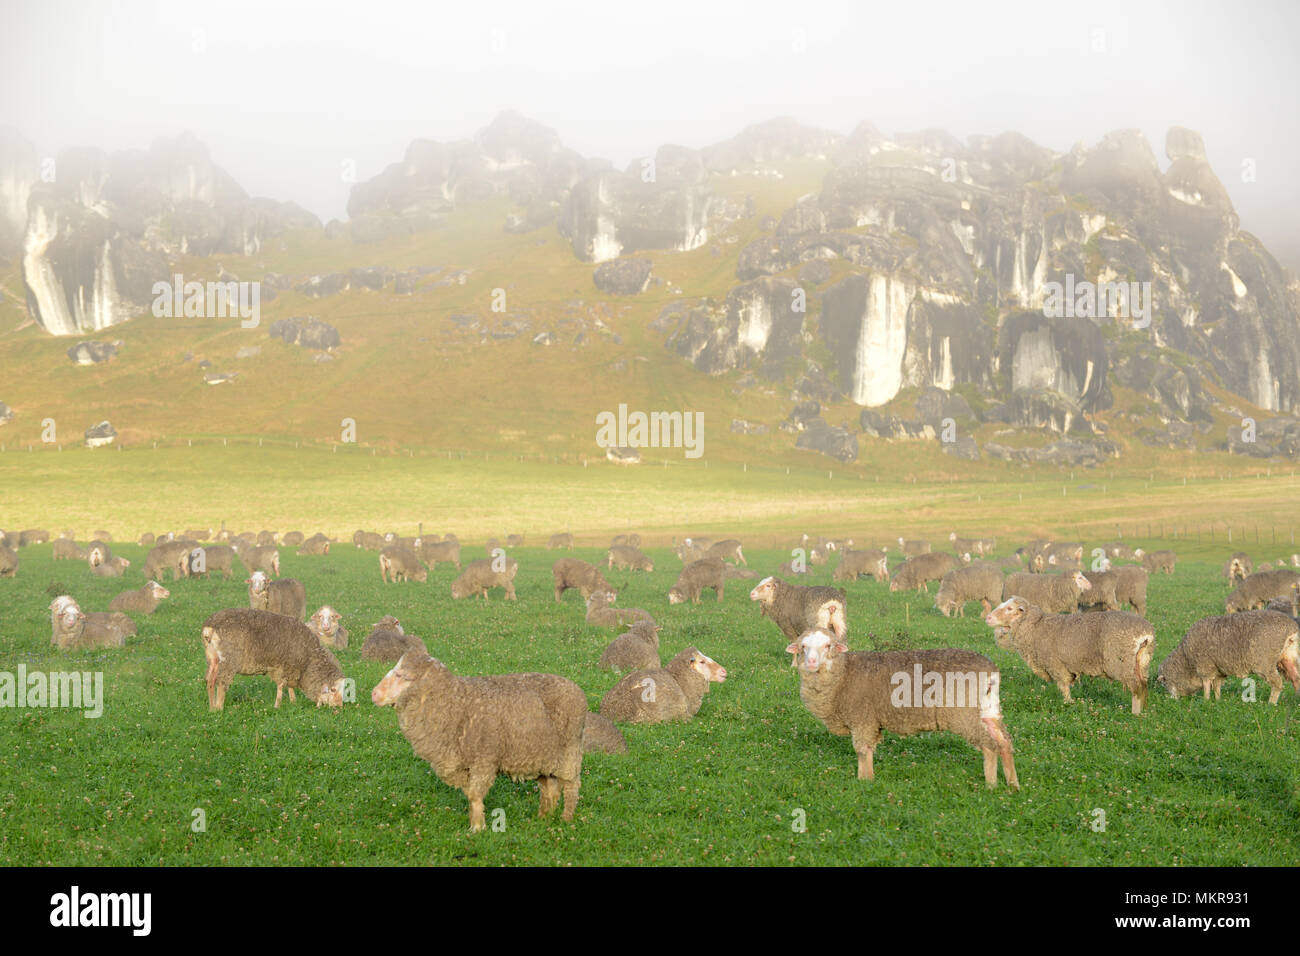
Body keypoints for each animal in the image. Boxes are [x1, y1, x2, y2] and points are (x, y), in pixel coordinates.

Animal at [201, 608, 347, 711]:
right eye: (333, 690)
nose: (339, 708)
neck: (308, 660)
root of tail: (210, 627)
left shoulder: (291, 669)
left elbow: (288, 686)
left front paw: (293, 701)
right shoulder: (283, 667)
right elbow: (281, 686)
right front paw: (277, 705)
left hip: (213, 659)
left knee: (210, 681)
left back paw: (212, 709)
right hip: (229, 660)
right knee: (221, 683)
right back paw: (219, 708)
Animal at [372, 652, 587, 831]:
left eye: (402, 676)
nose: (374, 693)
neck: (457, 703)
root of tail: (576, 688)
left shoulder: (484, 759)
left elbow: (475, 795)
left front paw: (477, 828)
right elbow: (471, 795)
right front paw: (476, 823)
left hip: (569, 752)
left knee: (571, 786)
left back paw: (566, 819)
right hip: (541, 757)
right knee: (550, 788)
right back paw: (543, 817)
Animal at [786, 630, 1018, 789]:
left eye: (828, 645)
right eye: (803, 646)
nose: (811, 662)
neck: (843, 674)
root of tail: (991, 670)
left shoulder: (863, 718)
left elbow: (862, 751)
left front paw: (864, 781)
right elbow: (868, 750)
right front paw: (868, 779)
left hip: (963, 713)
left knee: (989, 745)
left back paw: (991, 785)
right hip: (988, 708)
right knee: (1004, 741)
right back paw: (1012, 784)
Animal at [985, 596, 1155, 714]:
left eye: (1009, 608)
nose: (988, 618)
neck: (1035, 627)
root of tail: (1145, 633)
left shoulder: (1057, 665)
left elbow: (1064, 687)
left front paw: (1068, 704)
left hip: (1121, 663)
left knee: (1136, 688)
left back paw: (1135, 713)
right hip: (1142, 662)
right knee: (1143, 686)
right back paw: (1144, 710)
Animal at [1158, 610, 1300, 705]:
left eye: (1165, 682)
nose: (1171, 700)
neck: (1186, 659)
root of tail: (1290, 628)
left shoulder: (1205, 666)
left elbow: (1207, 685)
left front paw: (1206, 701)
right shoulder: (1219, 670)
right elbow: (1217, 686)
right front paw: (1218, 700)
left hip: (1264, 663)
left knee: (1277, 683)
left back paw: (1271, 704)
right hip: (1289, 658)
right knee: (1296, 678)